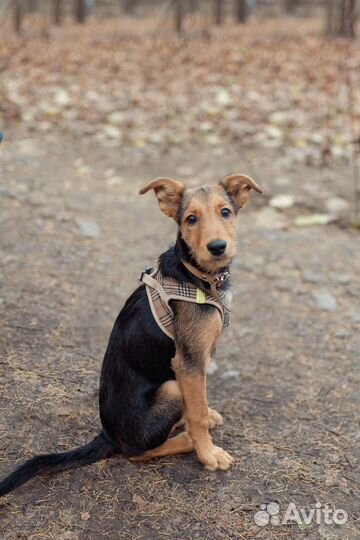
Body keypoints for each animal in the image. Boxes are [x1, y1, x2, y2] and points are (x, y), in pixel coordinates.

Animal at [1, 173, 262, 498]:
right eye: (191, 219)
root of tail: (108, 434)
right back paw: (186, 440)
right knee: (136, 451)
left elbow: (199, 400)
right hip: (170, 389)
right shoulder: (187, 363)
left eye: (225, 212)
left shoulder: (198, 359)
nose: (217, 247)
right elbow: (197, 412)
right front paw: (207, 453)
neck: (197, 276)